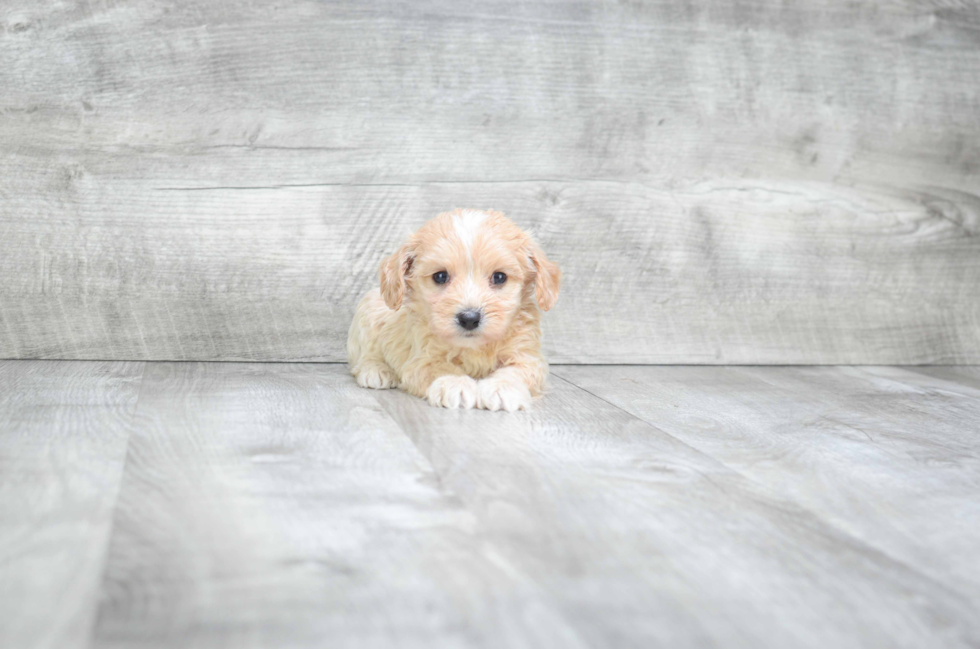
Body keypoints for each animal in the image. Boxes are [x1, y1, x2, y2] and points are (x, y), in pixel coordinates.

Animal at [346, 208, 560, 410]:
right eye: (440, 276)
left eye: (500, 277)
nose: (469, 319)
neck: (474, 347)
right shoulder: (421, 360)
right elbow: (441, 368)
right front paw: (455, 384)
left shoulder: (528, 356)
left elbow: (516, 371)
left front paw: (502, 388)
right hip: (368, 315)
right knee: (365, 356)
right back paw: (376, 371)